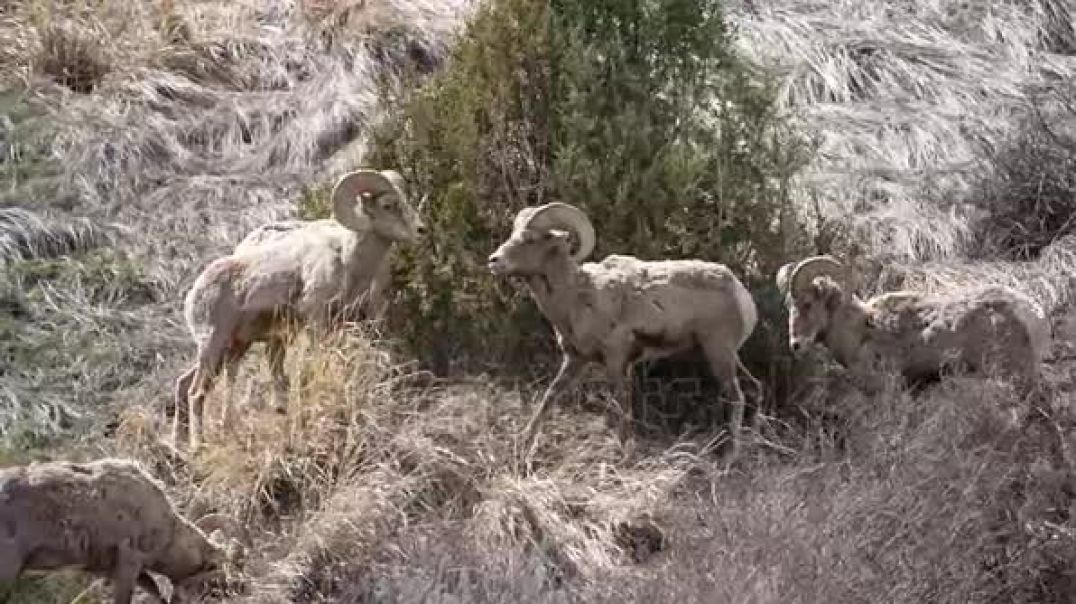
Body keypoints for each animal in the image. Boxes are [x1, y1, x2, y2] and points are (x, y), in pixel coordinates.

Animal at [172, 166, 423, 450]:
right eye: (388, 205)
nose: (421, 230)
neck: (348, 260)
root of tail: (194, 293)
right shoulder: (316, 320)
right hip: (213, 345)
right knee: (196, 392)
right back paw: (197, 446)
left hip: (234, 347)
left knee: (185, 384)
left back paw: (181, 444)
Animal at [488, 201, 757, 452]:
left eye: (530, 239)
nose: (494, 261)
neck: (578, 296)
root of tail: (742, 295)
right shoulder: (575, 359)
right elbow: (549, 396)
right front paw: (524, 442)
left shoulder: (617, 360)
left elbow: (621, 404)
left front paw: (625, 450)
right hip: (718, 355)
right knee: (753, 387)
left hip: (719, 354)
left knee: (737, 397)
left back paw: (730, 455)